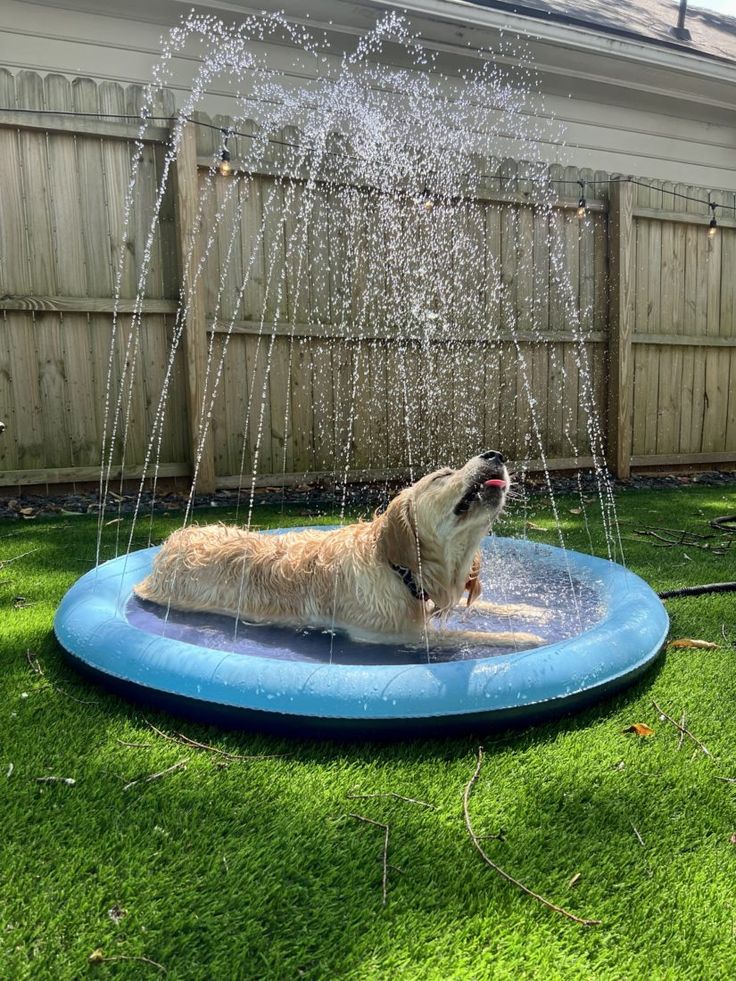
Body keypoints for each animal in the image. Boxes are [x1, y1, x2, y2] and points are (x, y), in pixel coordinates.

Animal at [135, 452, 544, 652]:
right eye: (441, 476)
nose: (496, 453)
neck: (397, 568)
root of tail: (169, 545)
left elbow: (484, 606)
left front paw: (529, 613)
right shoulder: (390, 635)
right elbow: (463, 634)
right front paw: (524, 639)